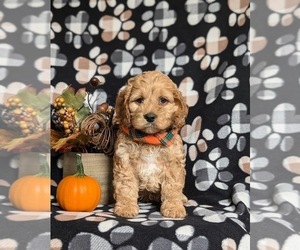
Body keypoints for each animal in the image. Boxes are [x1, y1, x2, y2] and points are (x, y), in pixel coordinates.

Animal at [112, 70, 188, 217]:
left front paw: (173, 208)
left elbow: (172, 187)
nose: (150, 116)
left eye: (163, 100)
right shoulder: (125, 159)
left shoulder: (173, 162)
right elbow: (126, 185)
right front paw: (126, 207)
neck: (150, 139)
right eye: (139, 100)